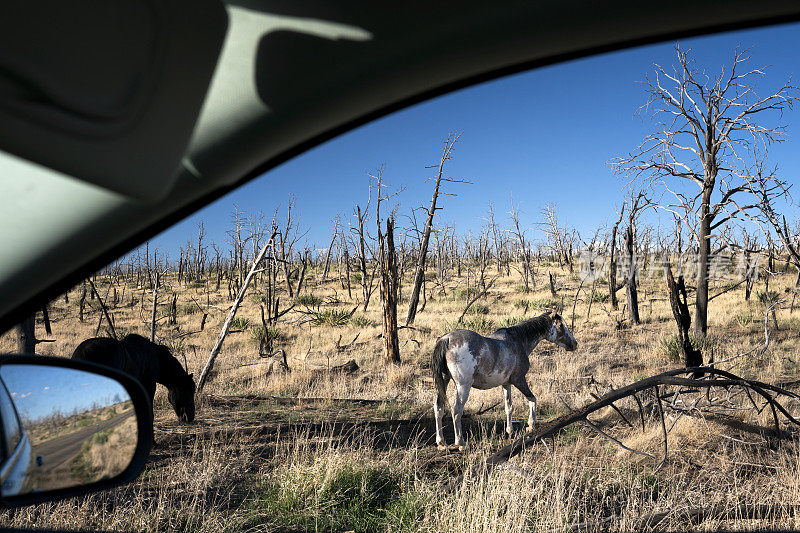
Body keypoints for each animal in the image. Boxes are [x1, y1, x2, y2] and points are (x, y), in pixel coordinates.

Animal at [434, 308, 580, 448]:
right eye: (561, 325)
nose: (574, 344)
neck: (518, 341)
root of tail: (446, 339)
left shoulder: (506, 383)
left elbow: (509, 407)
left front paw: (510, 431)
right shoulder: (519, 380)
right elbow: (532, 399)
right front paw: (531, 425)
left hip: (444, 382)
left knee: (439, 408)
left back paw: (441, 443)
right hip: (463, 386)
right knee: (456, 410)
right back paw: (461, 443)